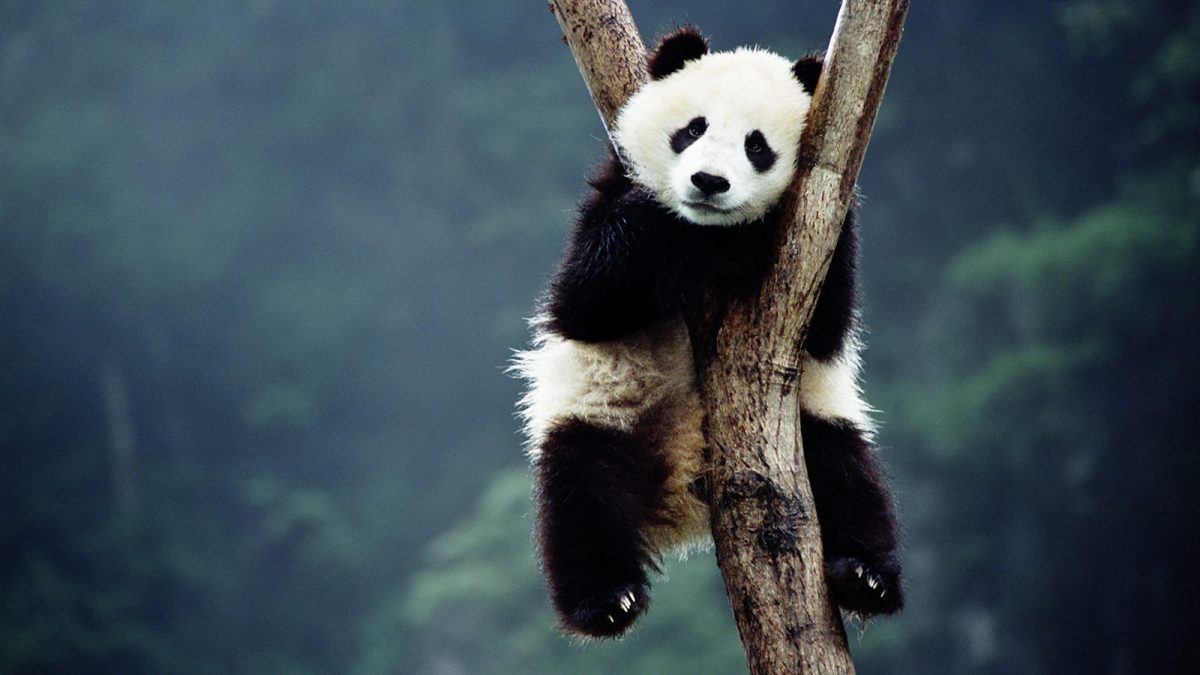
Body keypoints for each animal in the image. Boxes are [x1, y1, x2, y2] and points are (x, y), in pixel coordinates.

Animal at [513, 26, 903, 639]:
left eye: (757, 146)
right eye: (692, 129)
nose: (708, 182)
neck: (704, 232)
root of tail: (682, 496)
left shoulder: (823, 229)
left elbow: (827, 325)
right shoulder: (610, 194)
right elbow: (583, 299)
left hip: (812, 426)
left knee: (850, 478)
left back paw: (865, 577)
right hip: (601, 416)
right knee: (579, 500)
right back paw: (607, 601)